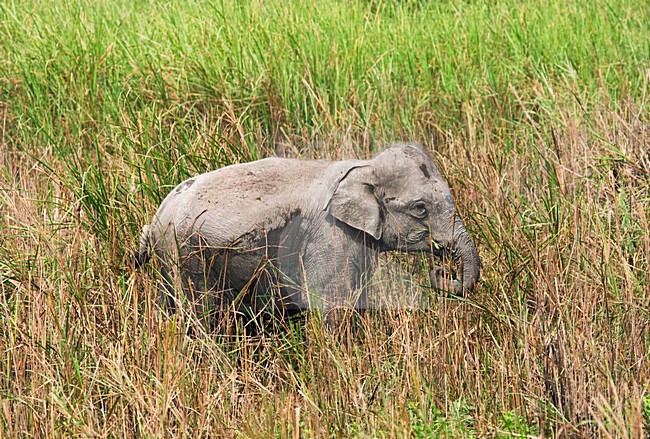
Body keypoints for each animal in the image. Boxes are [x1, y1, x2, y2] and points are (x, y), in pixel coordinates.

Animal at [135, 143, 480, 329]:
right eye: (420, 208)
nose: (441, 270)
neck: (364, 166)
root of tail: (155, 217)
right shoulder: (329, 235)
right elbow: (331, 308)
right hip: (185, 257)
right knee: (199, 316)